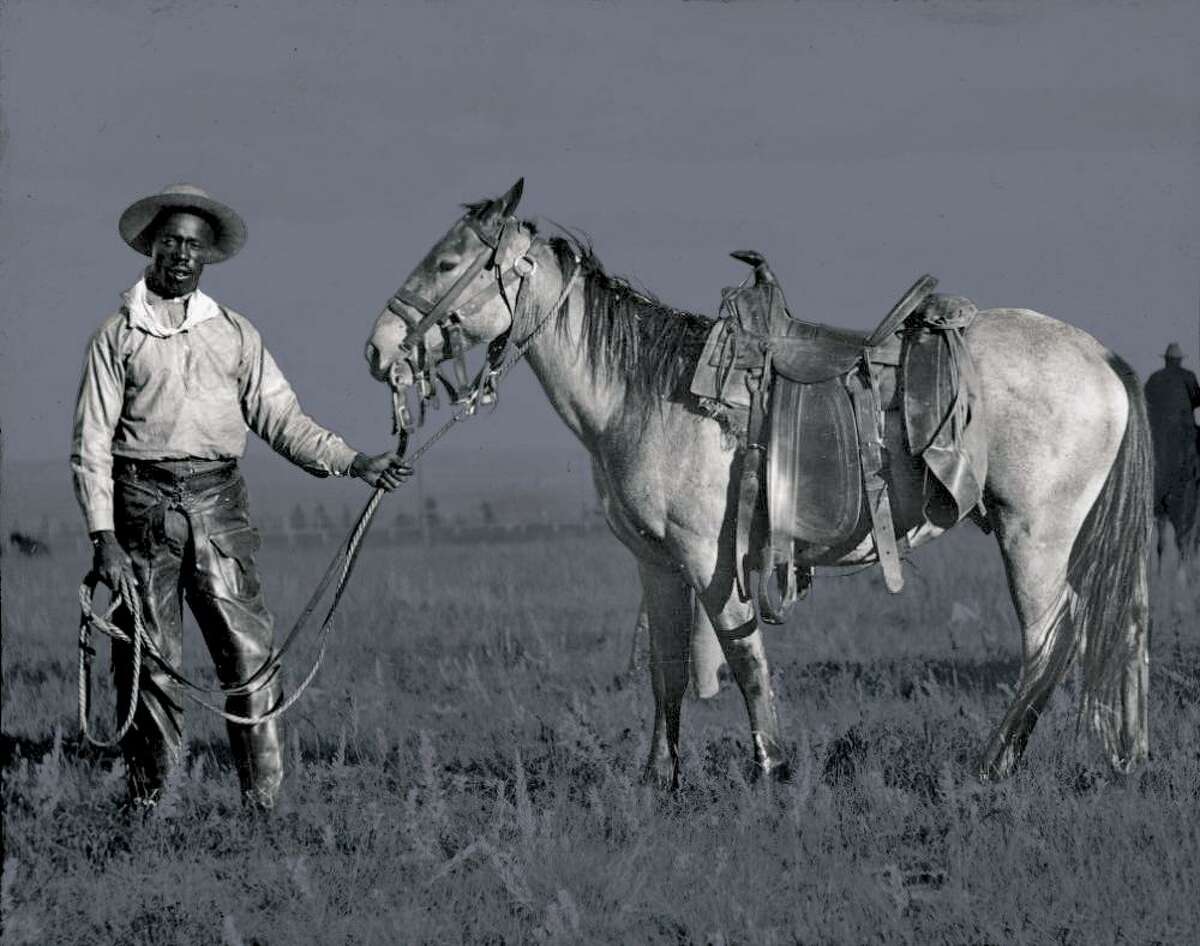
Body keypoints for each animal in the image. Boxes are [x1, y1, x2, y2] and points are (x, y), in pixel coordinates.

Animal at [362, 181, 1152, 787]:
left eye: (449, 260)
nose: (378, 349)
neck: (642, 394)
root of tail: (1105, 359)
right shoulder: (656, 563)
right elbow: (668, 669)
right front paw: (660, 778)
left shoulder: (710, 558)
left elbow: (744, 659)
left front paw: (771, 766)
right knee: (1120, 628)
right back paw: (1122, 755)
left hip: (1034, 536)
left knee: (1051, 639)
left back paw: (995, 763)